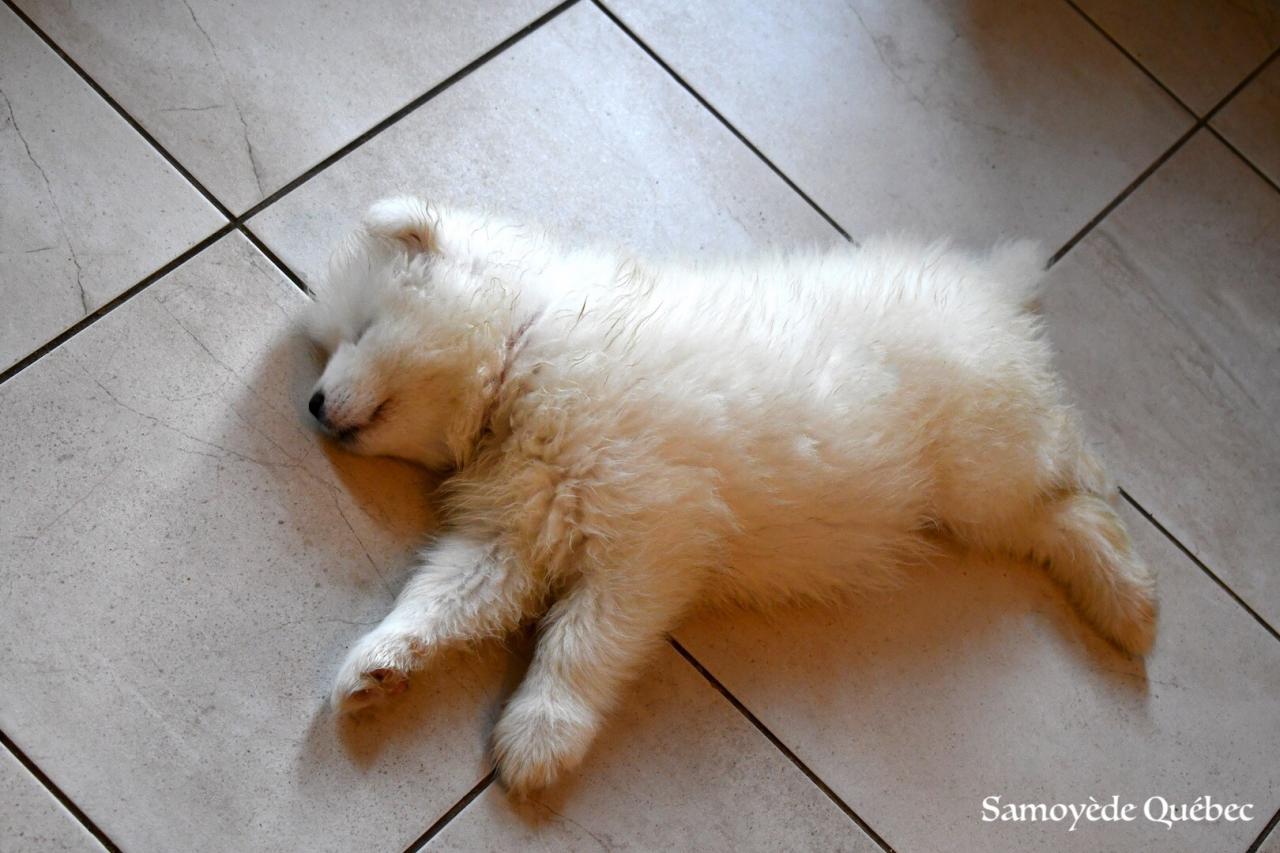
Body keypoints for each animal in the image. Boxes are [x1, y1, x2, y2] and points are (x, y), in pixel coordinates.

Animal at [304, 194, 1157, 788]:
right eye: (333, 341)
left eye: (360, 330)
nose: (310, 404)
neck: (525, 353)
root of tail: (991, 289)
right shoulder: (511, 533)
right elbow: (441, 596)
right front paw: (380, 661)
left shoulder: (649, 538)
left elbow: (583, 640)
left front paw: (542, 734)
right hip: (981, 493)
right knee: (1054, 516)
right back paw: (1128, 607)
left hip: (986, 460)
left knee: (1078, 481)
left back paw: (1131, 599)